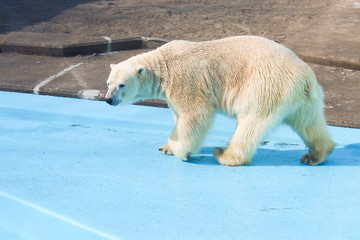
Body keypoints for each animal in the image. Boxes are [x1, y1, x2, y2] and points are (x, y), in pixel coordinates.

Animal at [105, 35, 334, 166]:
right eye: (108, 83)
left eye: (121, 85)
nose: (108, 99)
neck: (164, 67)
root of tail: (304, 74)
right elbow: (178, 116)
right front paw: (166, 147)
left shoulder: (185, 81)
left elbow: (196, 115)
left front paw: (183, 152)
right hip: (304, 98)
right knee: (308, 122)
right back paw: (316, 155)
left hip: (265, 85)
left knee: (250, 123)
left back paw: (225, 155)